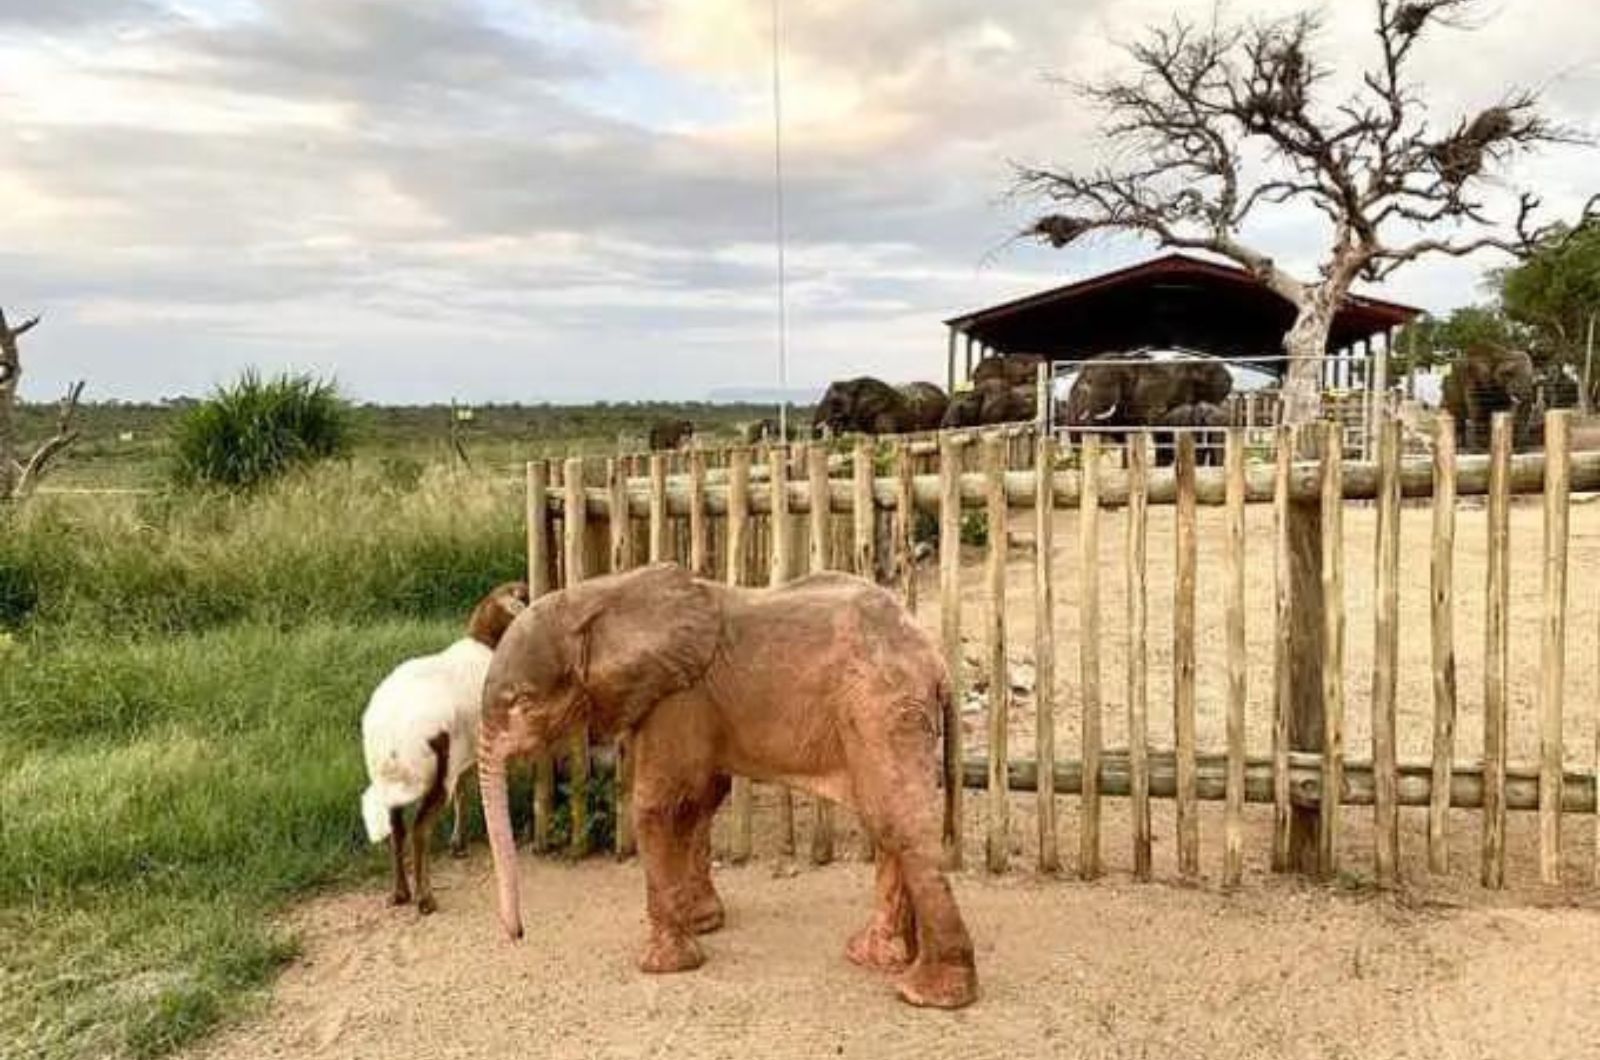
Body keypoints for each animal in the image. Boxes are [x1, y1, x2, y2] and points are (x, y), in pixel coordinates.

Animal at [363, 582, 531, 915]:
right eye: (525, 595)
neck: (485, 642)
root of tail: (392, 740)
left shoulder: (467, 751)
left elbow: (463, 792)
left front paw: (458, 843)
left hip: (400, 780)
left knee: (397, 830)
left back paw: (400, 892)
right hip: (437, 774)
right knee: (420, 830)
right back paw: (424, 898)